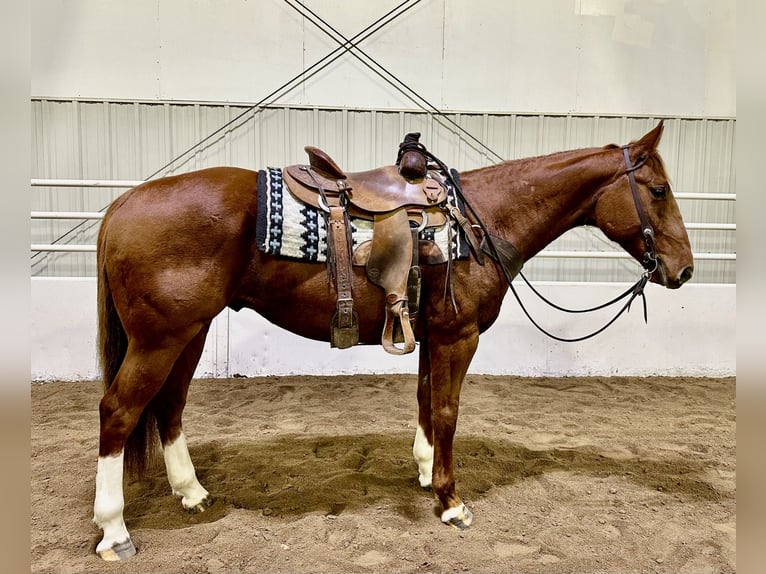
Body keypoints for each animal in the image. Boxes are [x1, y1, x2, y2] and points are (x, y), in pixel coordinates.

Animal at [91, 122, 696, 564]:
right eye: (659, 190)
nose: (684, 270)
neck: (482, 221)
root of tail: (123, 204)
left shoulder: (432, 336)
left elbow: (427, 402)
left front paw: (426, 472)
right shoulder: (458, 336)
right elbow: (448, 411)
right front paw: (451, 502)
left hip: (189, 334)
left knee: (169, 406)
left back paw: (191, 493)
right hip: (160, 339)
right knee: (119, 412)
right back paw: (115, 531)